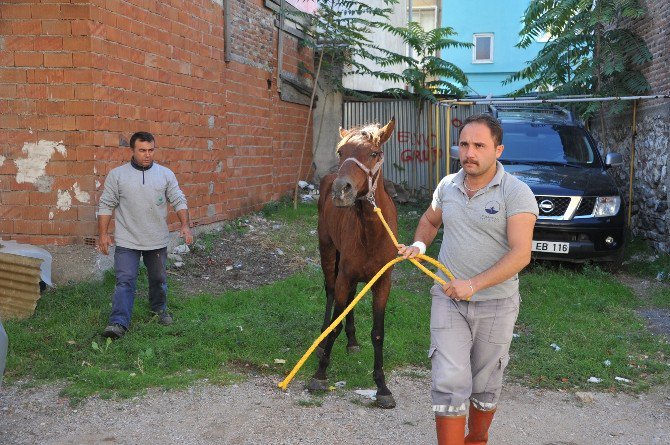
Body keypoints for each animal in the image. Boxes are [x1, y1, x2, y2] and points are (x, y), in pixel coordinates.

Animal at [308, 117, 400, 406]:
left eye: (374, 153)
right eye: (341, 152)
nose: (341, 190)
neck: (371, 232)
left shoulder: (382, 282)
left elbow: (378, 333)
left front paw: (382, 387)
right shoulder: (344, 275)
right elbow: (335, 322)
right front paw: (320, 374)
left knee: (349, 299)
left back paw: (352, 341)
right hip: (327, 252)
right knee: (330, 292)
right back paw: (321, 341)